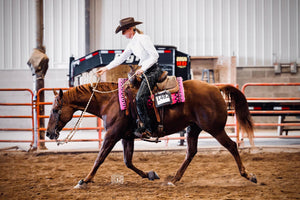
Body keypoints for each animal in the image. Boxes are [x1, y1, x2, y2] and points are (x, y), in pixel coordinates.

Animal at [46, 76, 255, 188]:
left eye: (55, 110)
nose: (48, 134)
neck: (110, 102)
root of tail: (215, 88)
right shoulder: (126, 137)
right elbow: (128, 161)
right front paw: (150, 174)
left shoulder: (112, 135)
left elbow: (100, 158)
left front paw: (85, 180)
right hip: (193, 128)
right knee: (191, 152)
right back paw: (174, 178)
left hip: (215, 128)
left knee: (232, 146)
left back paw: (248, 175)